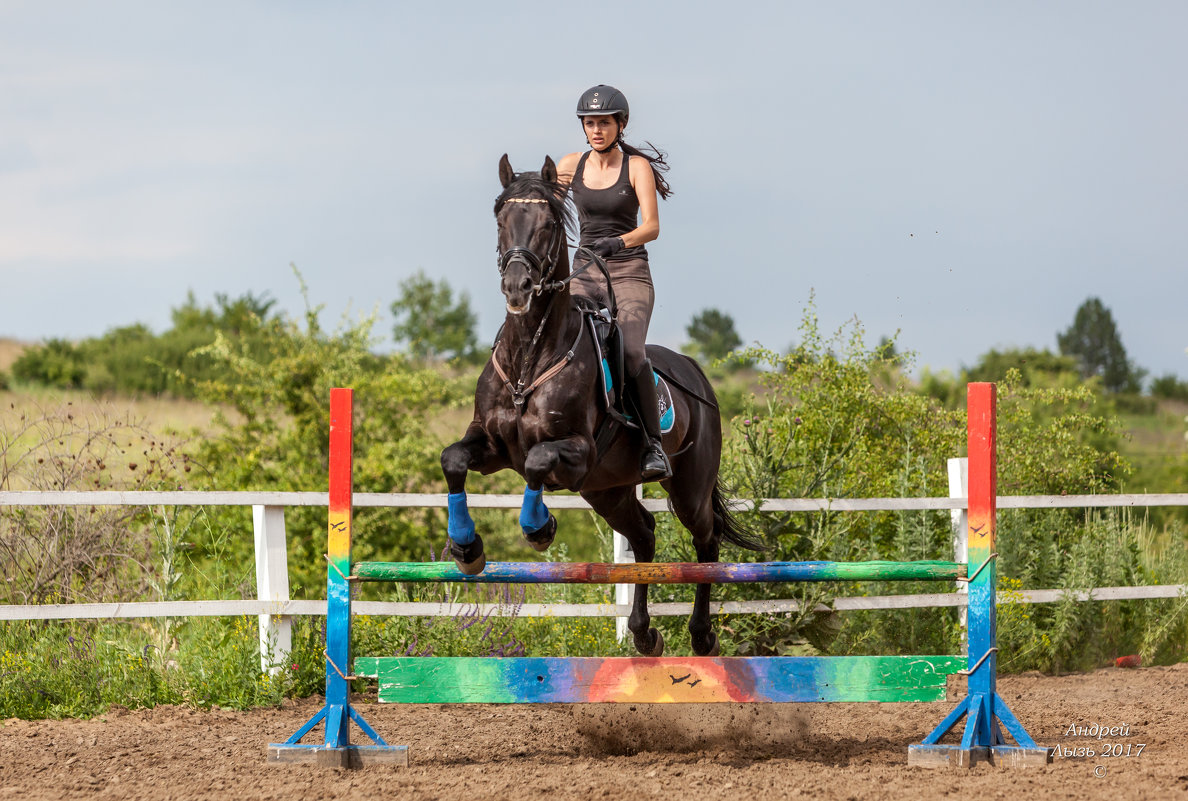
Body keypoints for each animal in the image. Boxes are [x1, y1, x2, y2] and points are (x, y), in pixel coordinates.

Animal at [439, 154, 760, 656]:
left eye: (549, 225)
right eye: (500, 219)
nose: (517, 287)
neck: (530, 356)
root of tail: (696, 373)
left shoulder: (577, 452)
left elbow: (537, 460)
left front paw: (539, 529)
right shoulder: (490, 447)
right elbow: (453, 458)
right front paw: (467, 549)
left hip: (687, 486)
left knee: (706, 543)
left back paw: (701, 634)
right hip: (607, 490)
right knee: (644, 536)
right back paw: (644, 633)